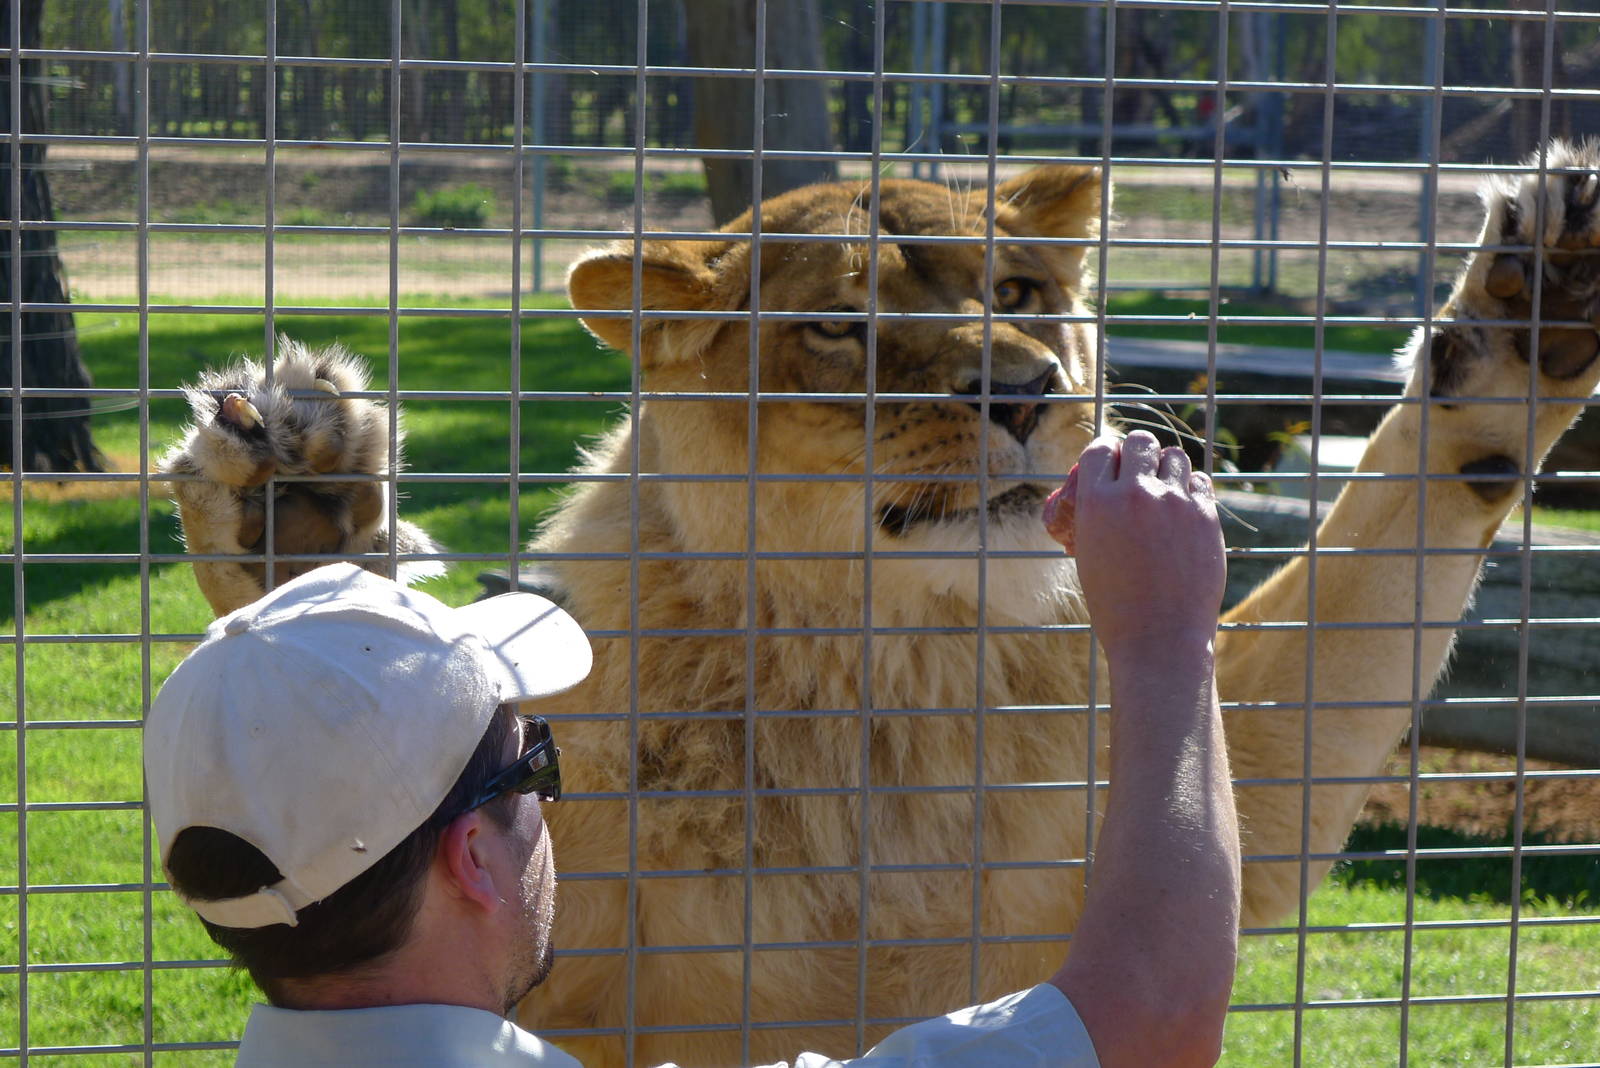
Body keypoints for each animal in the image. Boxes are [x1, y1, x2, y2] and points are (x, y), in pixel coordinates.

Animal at [517, 143, 1600, 1066]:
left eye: (1013, 293)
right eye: (837, 323)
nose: (1028, 389)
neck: (906, 682)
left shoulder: (1236, 784)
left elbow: (1372, 546)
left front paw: (1532, 309)